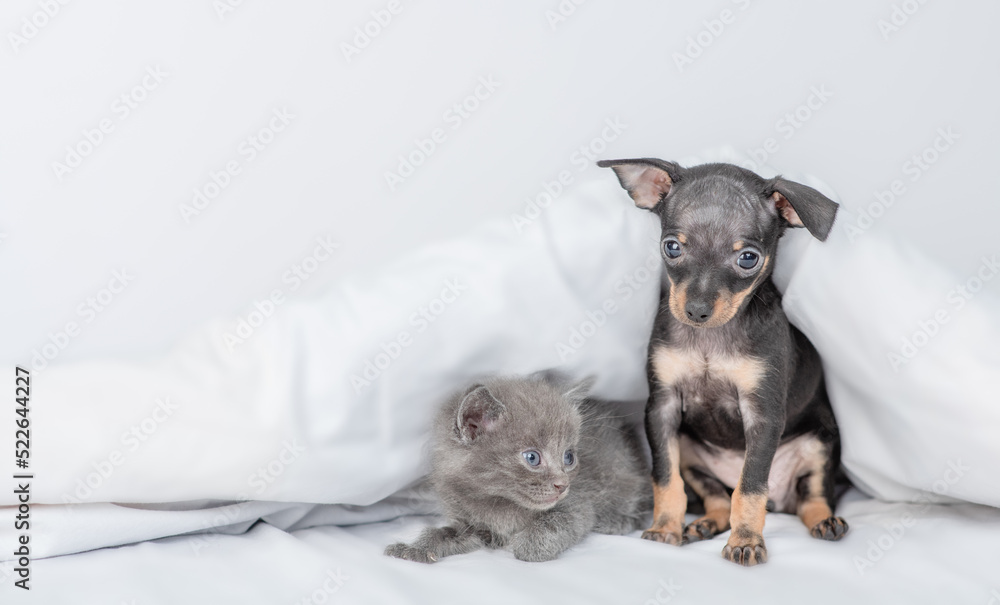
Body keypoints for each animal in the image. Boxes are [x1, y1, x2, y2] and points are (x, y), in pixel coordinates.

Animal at [380, 372, 648, 560]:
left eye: (569, 457)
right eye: (532, 458)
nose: (562, 485)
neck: (498, 501)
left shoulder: (577, 504)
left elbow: (556, 523)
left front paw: (526, 545)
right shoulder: (468, 522)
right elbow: (443, 532)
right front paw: (417, 548)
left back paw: (615, 520)